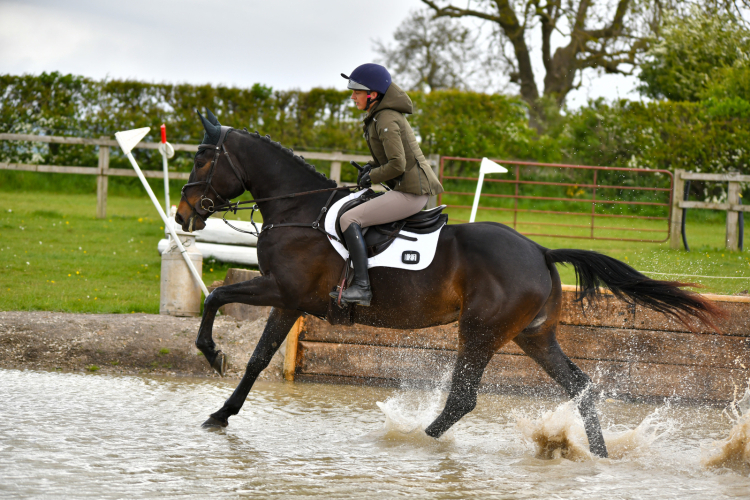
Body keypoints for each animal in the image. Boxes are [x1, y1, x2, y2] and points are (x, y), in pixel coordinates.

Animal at [176, 111, 721, 458]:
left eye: (202, 159)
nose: (183, 215)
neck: (297, 210)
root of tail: (540, 251)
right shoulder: (289, 302)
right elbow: (257, 359)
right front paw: (221, 413)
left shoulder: (281, 291)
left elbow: (217, 297)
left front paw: (211, 354)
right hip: (533, 336)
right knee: (581, 387)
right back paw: (600, 455)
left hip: (479, 331)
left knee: (464, 398)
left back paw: (417, 439)